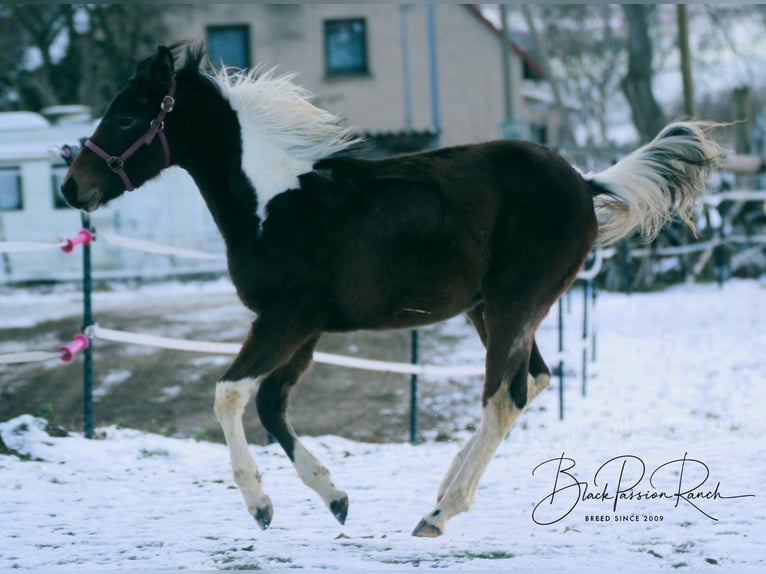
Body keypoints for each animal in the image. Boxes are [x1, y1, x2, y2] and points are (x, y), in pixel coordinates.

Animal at [61, 44, 722, 537]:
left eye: (127, 117)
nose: (72, 187)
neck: (273, 202)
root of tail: (585, 182)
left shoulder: (283, 320)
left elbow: (229, 394)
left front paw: (260, 507)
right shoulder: (304, 329)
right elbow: (272, 404)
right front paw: (334, 498)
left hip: (513, 304)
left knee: (502, 396)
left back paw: (439, 512)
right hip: (491, 311)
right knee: (529, 383)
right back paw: (443, 492)